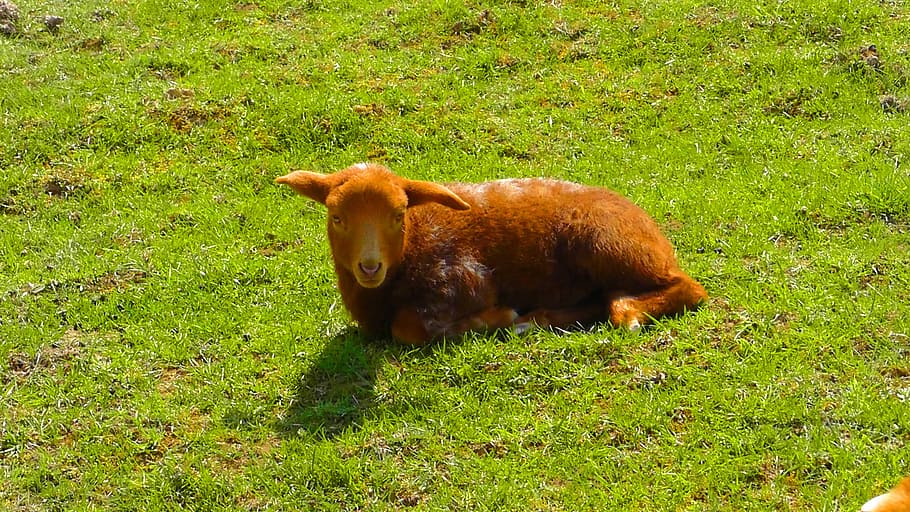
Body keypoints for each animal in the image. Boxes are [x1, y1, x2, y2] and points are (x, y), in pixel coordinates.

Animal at [276, 163, 707, 345]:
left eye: (399, 215)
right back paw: (540, 319)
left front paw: (497, 317)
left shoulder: (465, 279)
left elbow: (409, 329)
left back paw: (629, 313)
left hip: (610, 244)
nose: (369, 266)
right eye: (336, 217)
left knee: (689, 289)